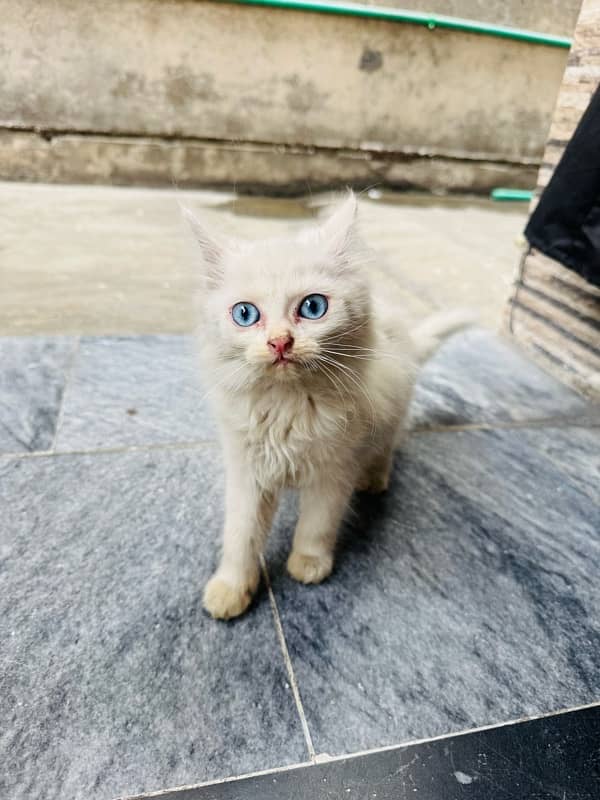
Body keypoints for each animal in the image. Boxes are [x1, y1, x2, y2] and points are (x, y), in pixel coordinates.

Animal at [185, 192, 472, 620]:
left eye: (313, 307)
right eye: (245, 314)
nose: (280, 342)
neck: (287, 406)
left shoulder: (334, 470)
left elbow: (317, 524)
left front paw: (309, 564)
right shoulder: (247, 472)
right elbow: (241, 535)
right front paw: (231, 589)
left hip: (390, 415)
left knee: (387, 448)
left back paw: (374, 480)